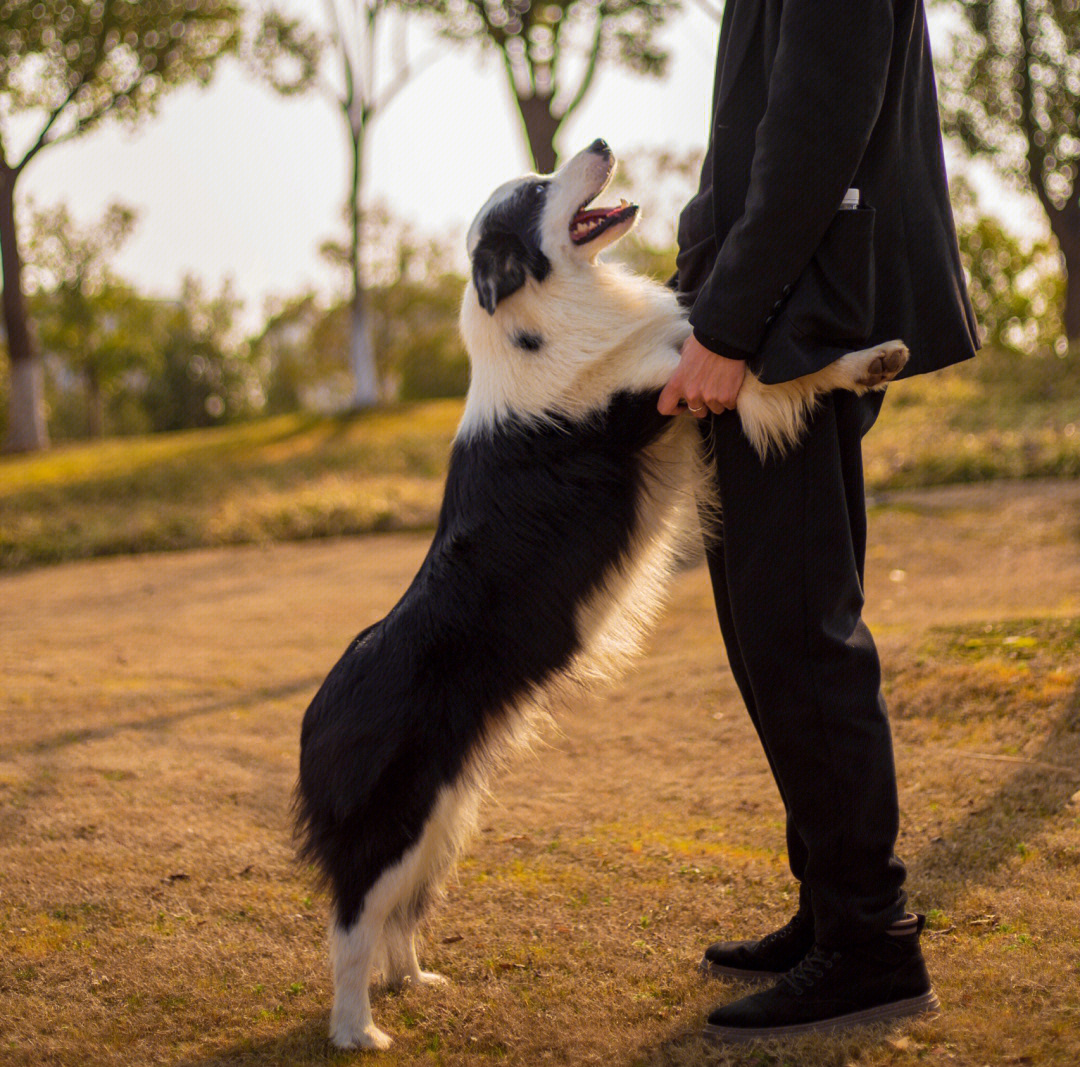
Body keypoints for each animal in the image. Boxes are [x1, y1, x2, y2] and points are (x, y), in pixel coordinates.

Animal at [293, 137, 902, 1045]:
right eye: (534, 192)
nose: (604, 143)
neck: (542, 309)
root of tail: (312, 722)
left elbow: (788, 365)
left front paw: (876, 361)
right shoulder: (668, 392)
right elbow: (771, 369)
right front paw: (869, 359)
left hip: (447, 811)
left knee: (400, 910)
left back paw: (415, 978)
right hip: (393, 818)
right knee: (352, 919)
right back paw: (356, 1029)